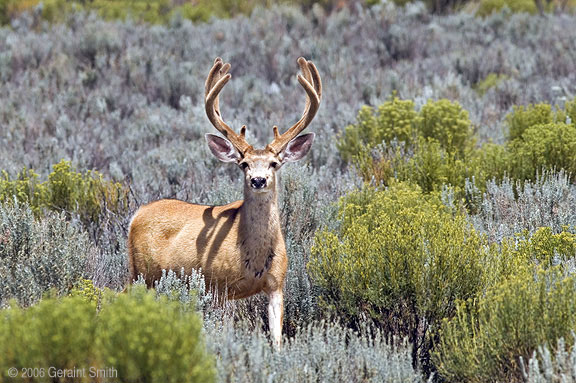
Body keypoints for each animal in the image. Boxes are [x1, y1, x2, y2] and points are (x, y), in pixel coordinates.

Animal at [127, 57, 322, 348]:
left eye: (274, 163)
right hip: (141, 271)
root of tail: (136, 215)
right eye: (244, 164)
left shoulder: (277, 284)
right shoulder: (220, 285)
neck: (252, 256)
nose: (258, 180)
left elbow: (276, 338)